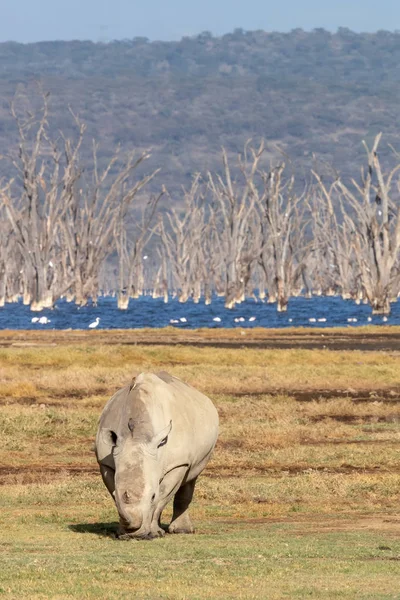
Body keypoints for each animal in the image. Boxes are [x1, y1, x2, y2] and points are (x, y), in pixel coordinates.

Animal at [94, 370, 219, 540]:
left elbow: (162, 495)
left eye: (152, 496)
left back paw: (181, 530)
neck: (136, 437)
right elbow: (114, 491)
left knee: (191, 475)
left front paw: (154, 533)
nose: (133, 534)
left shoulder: (177, 463)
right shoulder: (105, 461)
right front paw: (122, 532)